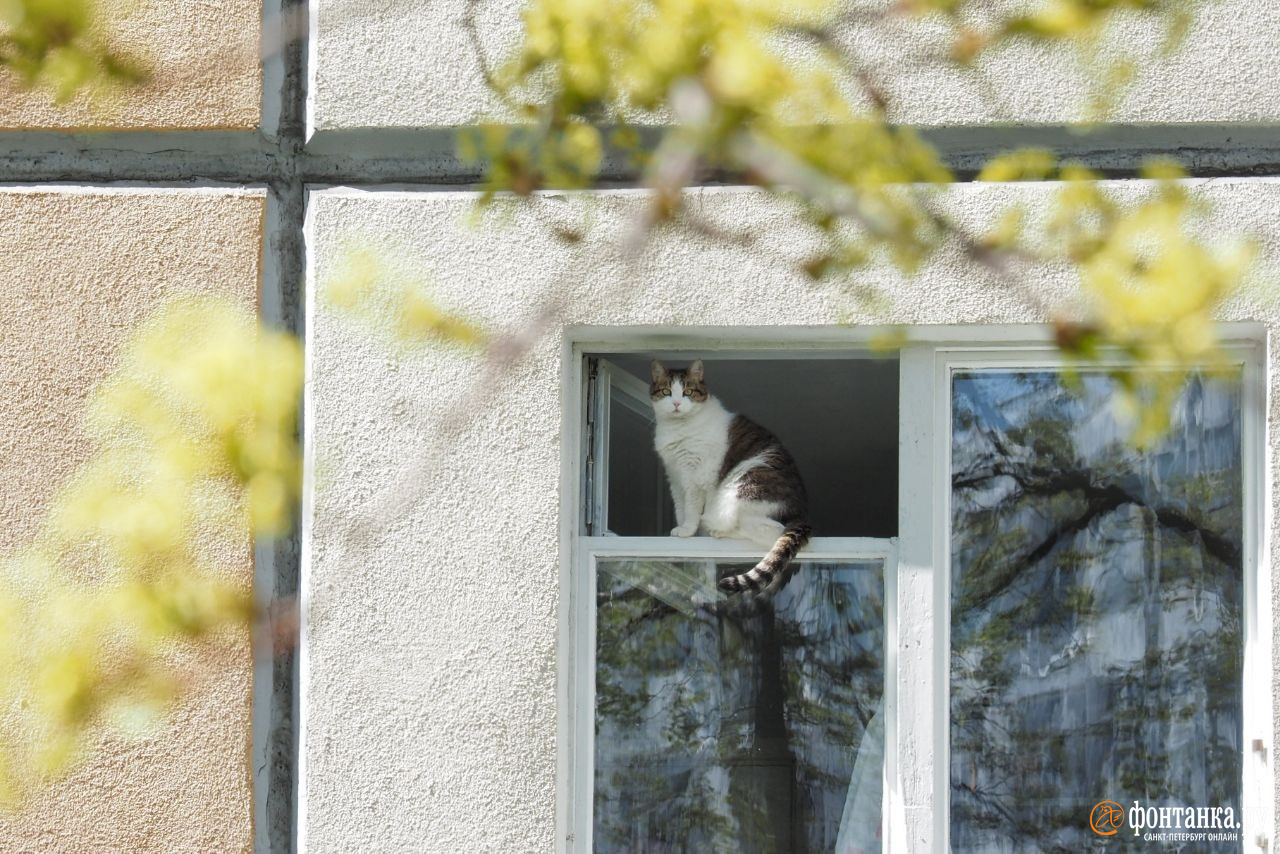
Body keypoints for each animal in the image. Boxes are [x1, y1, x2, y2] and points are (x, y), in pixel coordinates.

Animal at [650, 358, 808, 594]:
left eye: (688, 392)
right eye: (667, 391)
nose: (677, 403)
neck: (678, 427)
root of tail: (802, 512)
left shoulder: (696, 477)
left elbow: (692, 509)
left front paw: (688, 530)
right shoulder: (676, 477)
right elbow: (680, 509)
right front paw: (684, 533)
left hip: (739, 489)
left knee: (771, 531)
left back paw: (719, 531)